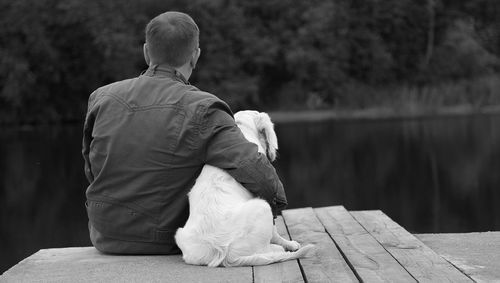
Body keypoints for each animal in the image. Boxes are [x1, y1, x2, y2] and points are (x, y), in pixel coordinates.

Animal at [175, 110, 312, 268]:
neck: (242, 129)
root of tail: (224, 254)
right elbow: (275, 230)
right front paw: (289, 243)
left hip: (180, 235)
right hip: (262, 206)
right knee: (265, 249)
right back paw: (280, 248)